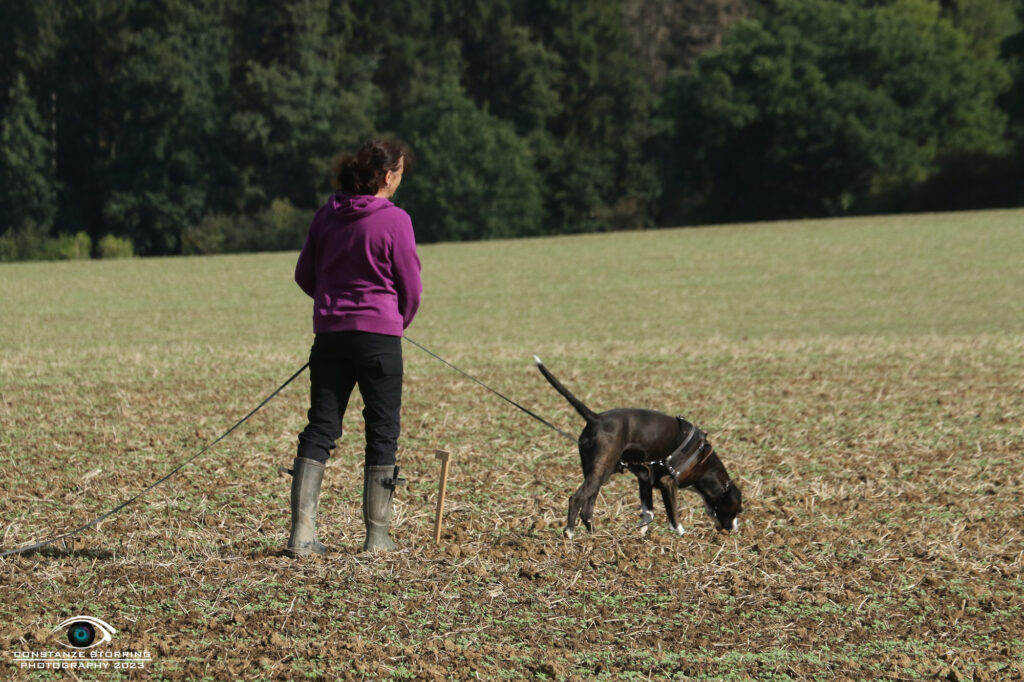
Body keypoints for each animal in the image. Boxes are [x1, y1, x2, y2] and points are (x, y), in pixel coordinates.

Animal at [532, 356, 741, 536]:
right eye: (737, 510)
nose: (734, 530)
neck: (701, 460)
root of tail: (595, 417)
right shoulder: (668, 483)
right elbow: (673, 516)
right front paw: (682, 536)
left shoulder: (645, 479)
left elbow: (649, 513)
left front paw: (641, 535)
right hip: (601, 470)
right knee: (576, 499)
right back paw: (569, 533)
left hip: (598, 472)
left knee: (588, 505)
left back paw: (594, 535)